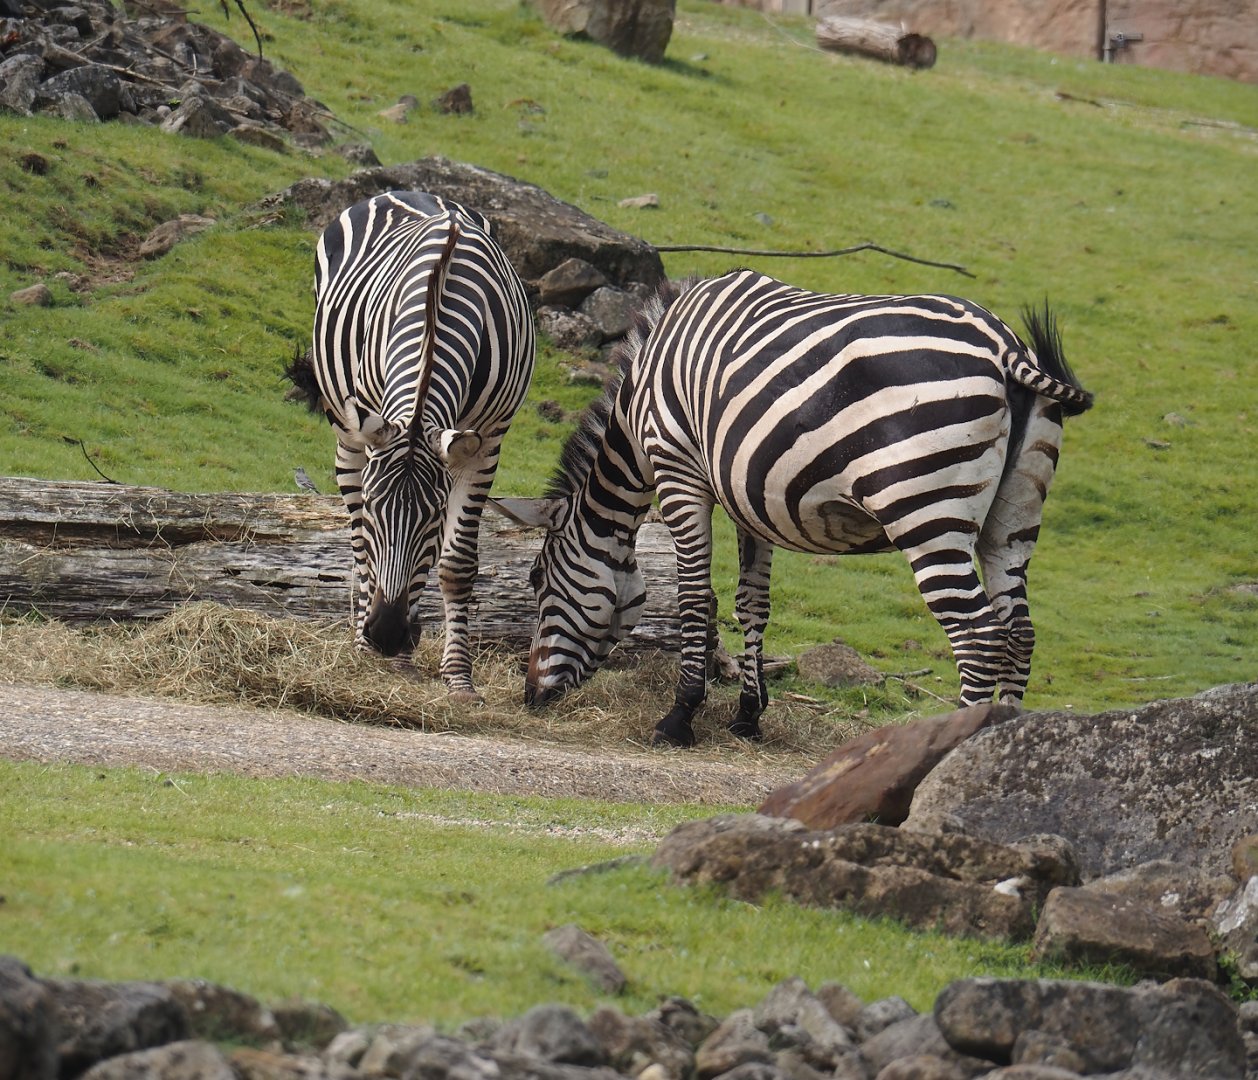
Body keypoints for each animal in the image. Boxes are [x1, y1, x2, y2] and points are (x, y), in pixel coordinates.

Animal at [286, 190, 534, 698]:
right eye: (377, 509)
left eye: (435, 518)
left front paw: (458, 677)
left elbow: (457, 564)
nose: (386, 634)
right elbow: (366, 544)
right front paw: (377, 648)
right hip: (348, 428)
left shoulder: (487, 443)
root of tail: (402, 192)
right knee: (355, 539)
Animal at [492, 270, 1092, 746]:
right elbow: (751, 603)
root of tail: (1003, 344)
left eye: (537, 579)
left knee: (978, 636)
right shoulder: (748, 494)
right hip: (1014, 518)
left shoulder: (679, 468)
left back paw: (947, 746)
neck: (643, 393)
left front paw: (680, 716)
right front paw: (748, 717)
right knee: (1019, 633)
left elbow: (694, 596)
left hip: (926, 511)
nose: (530, 695)